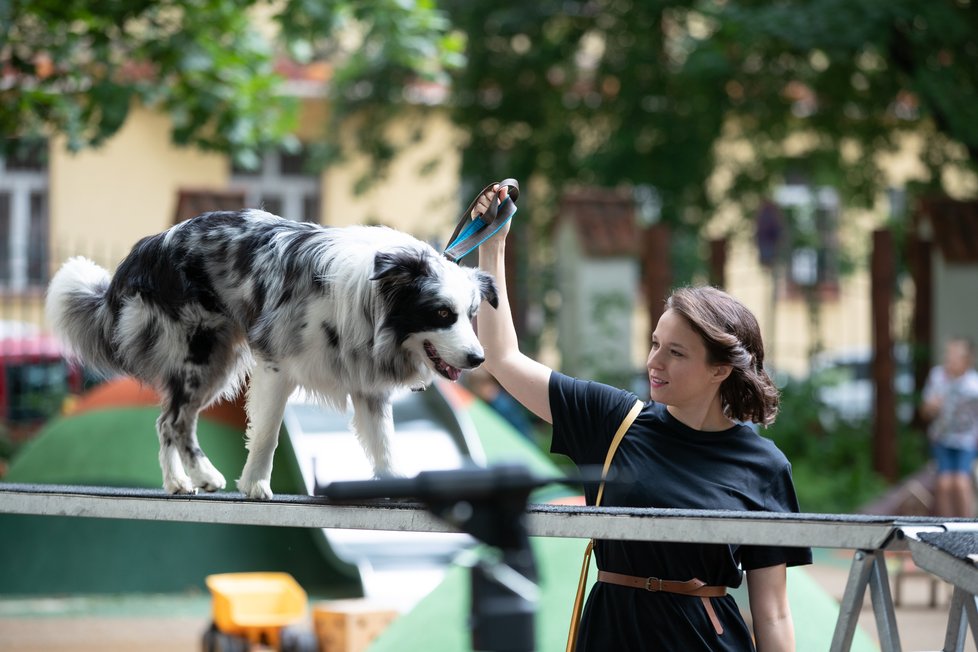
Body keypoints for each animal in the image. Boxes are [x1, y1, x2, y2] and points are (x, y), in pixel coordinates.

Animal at [45, 209, 496, 500]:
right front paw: (256, 484)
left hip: (218, 363)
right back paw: (191, 477)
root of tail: (145, 249)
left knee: (172, 422)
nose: (479, 359)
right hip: (199, 356)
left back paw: (188, 480)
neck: (369, 298)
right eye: (442, 313)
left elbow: (384, 441)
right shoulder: (278, 364)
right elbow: (267, 433)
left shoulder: (368, 384)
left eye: (472, 315)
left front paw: (395, 483)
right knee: (172, 420)